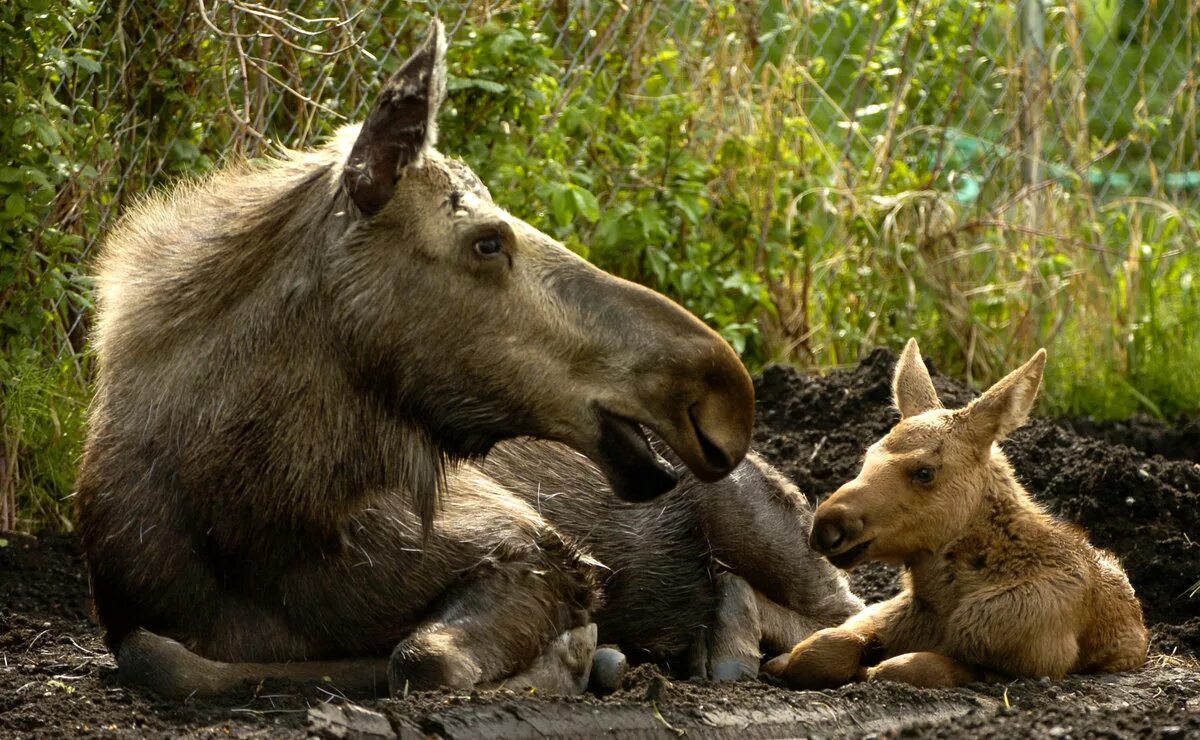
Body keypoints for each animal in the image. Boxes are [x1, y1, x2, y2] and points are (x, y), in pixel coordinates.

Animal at [75, 18, 753, 700]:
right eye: (488, 241)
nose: (723, 390)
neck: (249, 519)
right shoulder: (132, 615)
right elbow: (158, 656)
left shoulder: (540, 547)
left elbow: (420, 657)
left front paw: (572, 656)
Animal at [763, 338, 1147, 686]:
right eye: (867, 454)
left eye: (925, 472)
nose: (827, 526)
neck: (943, 602)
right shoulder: (879, 613)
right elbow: (822, 647)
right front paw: (780, 662)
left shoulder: (1032, 663)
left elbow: (903, 667)